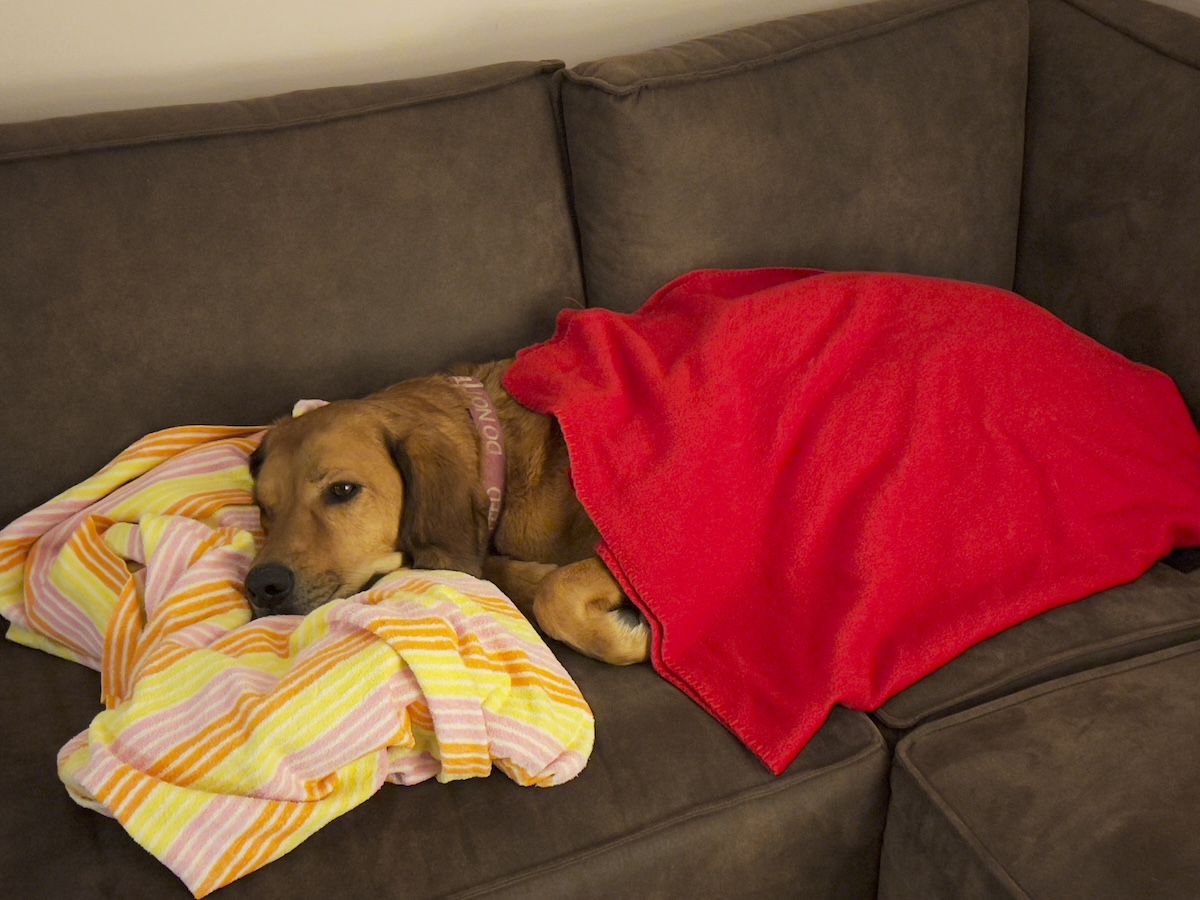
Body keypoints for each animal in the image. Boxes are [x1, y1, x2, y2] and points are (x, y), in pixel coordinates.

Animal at [243, 362, 652, 667]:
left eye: (342, 490)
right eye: (264, 507)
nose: (261, 586)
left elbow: (555, 594)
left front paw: (635, 640)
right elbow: (520, 577)